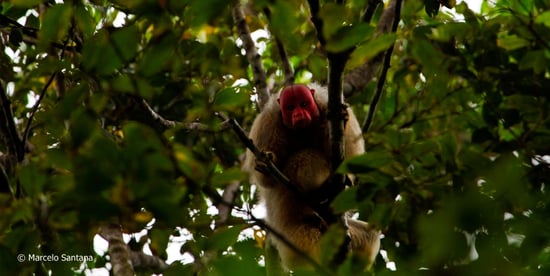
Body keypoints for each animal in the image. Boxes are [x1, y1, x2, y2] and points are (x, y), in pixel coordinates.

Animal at [244, 83, 382, 270]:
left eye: (303, 104)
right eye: (290, 107)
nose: (298, 114)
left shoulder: (328, 107)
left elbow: (350, 159)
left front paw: (344, 120)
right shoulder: (267, 123)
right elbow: (266, 180)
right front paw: (265, 163)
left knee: (370, 235)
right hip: (286, 209)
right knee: (306, 157)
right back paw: (320, 194)